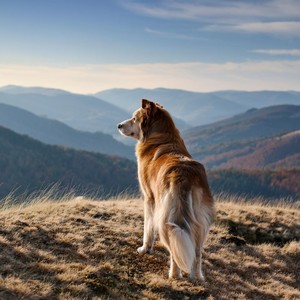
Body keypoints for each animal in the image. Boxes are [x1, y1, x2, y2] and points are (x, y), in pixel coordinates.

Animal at [118, 99, 216, 280]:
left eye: (134, 118)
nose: (118, 125)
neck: (160, 136)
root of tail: (185, 176)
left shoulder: (149, 198)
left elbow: (148, 228)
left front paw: (145, 249)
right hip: (201, 219)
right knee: (197, 251)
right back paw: (197, 277)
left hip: (167, 215)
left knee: (174, 244)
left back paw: (174, 274)